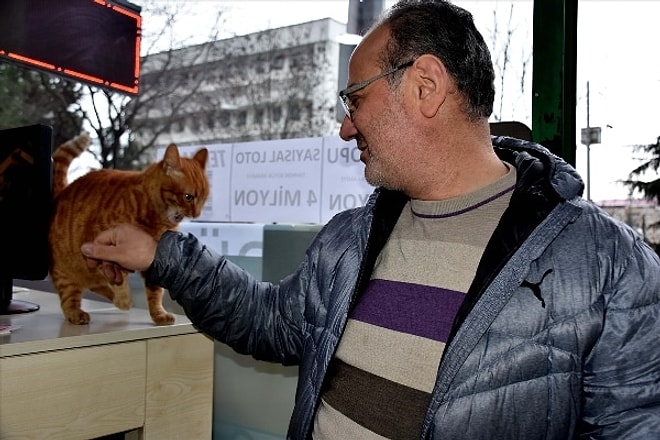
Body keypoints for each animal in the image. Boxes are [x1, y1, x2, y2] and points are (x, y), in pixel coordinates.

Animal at [48, 136, 209, 324]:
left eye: (204, 199)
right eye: (188, 197)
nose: (197, 213)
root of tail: (61, 193)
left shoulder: (153, 259)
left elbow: (155, 291)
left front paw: (158, 314)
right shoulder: (105, 246)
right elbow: (118, 278)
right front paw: (123, 298)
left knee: (94, 285)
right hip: (65, 272)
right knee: (69, 298)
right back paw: (79, 313)